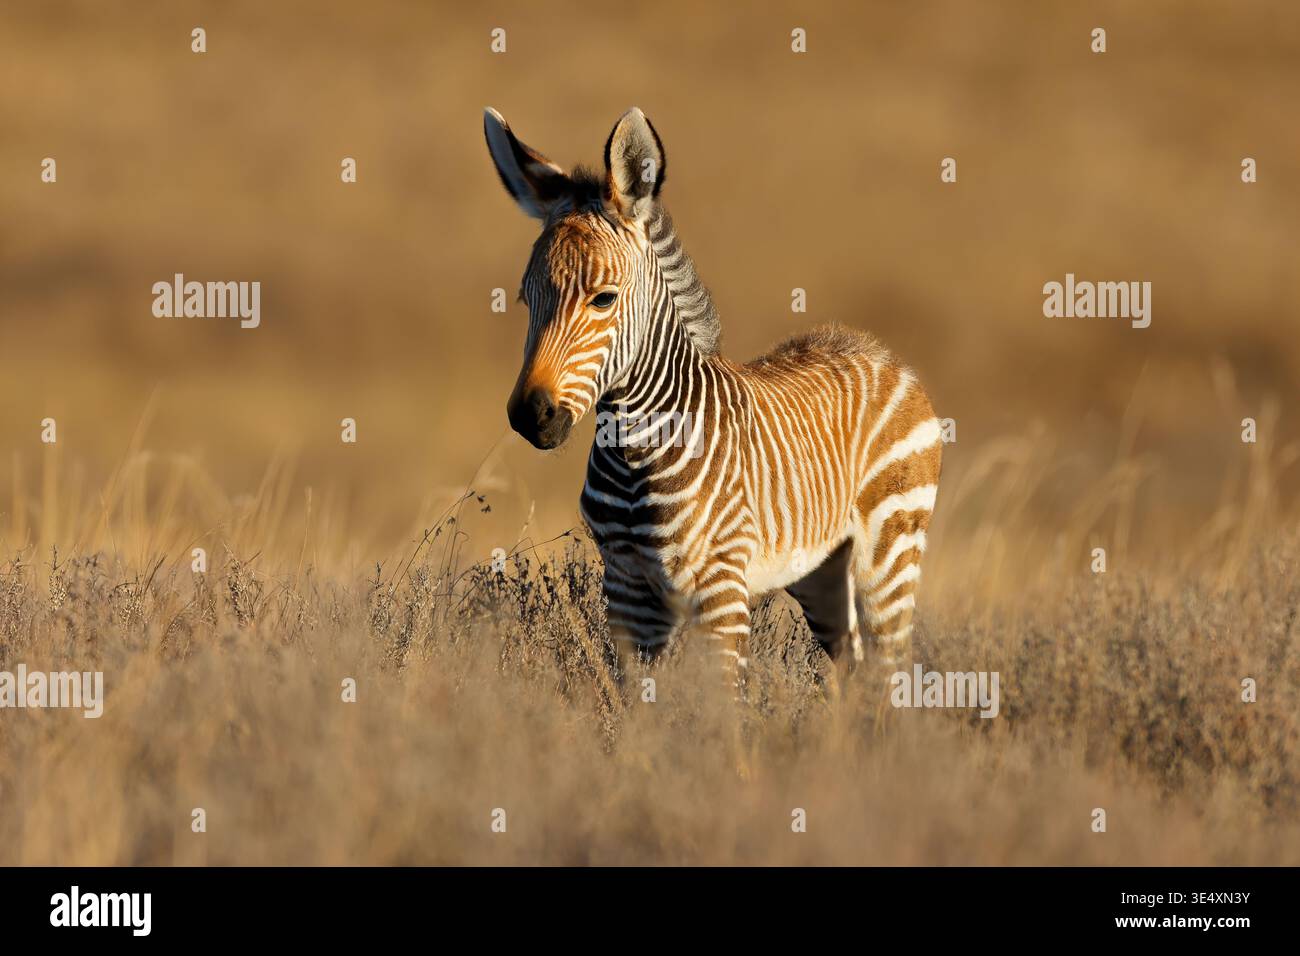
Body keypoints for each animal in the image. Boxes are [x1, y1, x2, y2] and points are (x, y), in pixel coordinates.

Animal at [485, 106, 942, 691]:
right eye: (526, 299)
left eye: (604, 299)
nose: (531, 415)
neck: (636, 454)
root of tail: (875, 349)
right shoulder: (627, 590)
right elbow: (638, 702)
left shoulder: (720, 588)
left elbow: (719, 705)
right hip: (821, 572)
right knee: (852, 669)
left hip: (890, 552)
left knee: (889, 672)